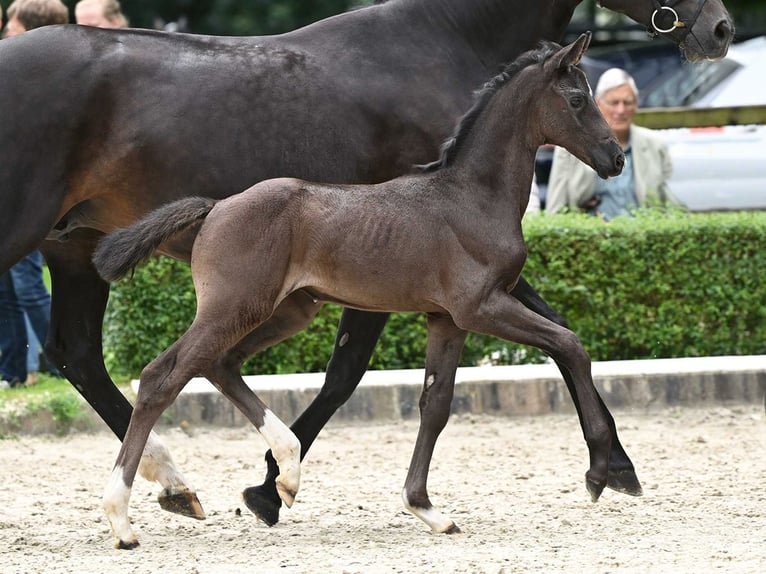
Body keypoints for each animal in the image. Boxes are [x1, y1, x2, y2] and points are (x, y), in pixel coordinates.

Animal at [96, 33, 624, 552]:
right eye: (577, 99)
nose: (616, 157)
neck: (472, 197)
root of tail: (217, 206)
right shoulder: (481, 307)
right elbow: (570, 345)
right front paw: (602, 471)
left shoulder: (447, 319)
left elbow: (436, 405)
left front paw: (426, 509)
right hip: (233, 309)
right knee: (162, 377)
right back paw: (123, 519)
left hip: (284, 312)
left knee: (217, 365)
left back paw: (286, 473)